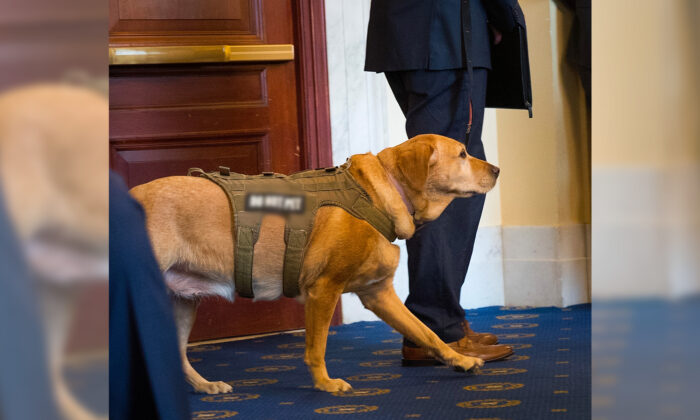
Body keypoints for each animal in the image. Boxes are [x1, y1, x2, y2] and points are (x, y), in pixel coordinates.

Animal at [131, 134, 500, 394]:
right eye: (463, 154)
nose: (498, 170)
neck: (379, 193)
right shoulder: (324, 290)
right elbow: (316, 347)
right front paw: (325, 384)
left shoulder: (379, 294)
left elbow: (426, 332)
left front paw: (460, 359)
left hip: (181, 303)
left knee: (176, 356)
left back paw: (204, 386)